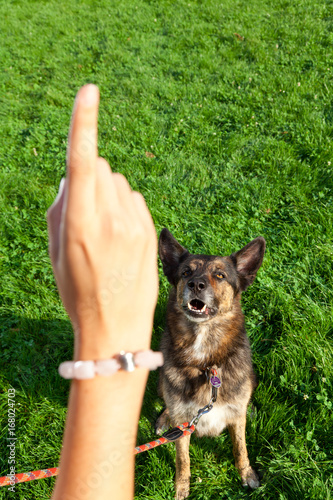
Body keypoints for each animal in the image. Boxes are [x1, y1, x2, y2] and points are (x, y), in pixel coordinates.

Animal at [155, 229, 264, 498]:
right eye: (186, 273)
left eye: (220, 275)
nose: (196, 284)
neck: (206, 362)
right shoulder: (184, 425)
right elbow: (182, 459)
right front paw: (181, 488)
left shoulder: (235, 419)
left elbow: (240, 448)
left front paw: (247, 474)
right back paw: (164, 419)